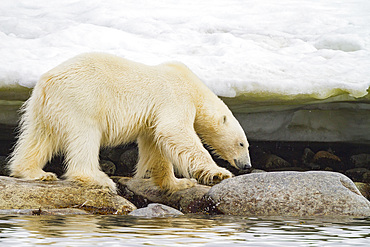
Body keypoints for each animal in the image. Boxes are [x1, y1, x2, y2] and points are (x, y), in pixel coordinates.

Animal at [8, 52, 251, 193]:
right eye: (242, 143)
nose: (247, 166)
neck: (193, 87)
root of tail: (47, 82)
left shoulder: (152, 119)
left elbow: (155, 145)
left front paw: (178, 183)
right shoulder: (175, 97)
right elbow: (175, 131)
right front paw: (219, 173)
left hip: (45, 108)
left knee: (39, 138)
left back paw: (35, 172)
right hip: (82, 100)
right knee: (85, 137)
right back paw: (99, 178)